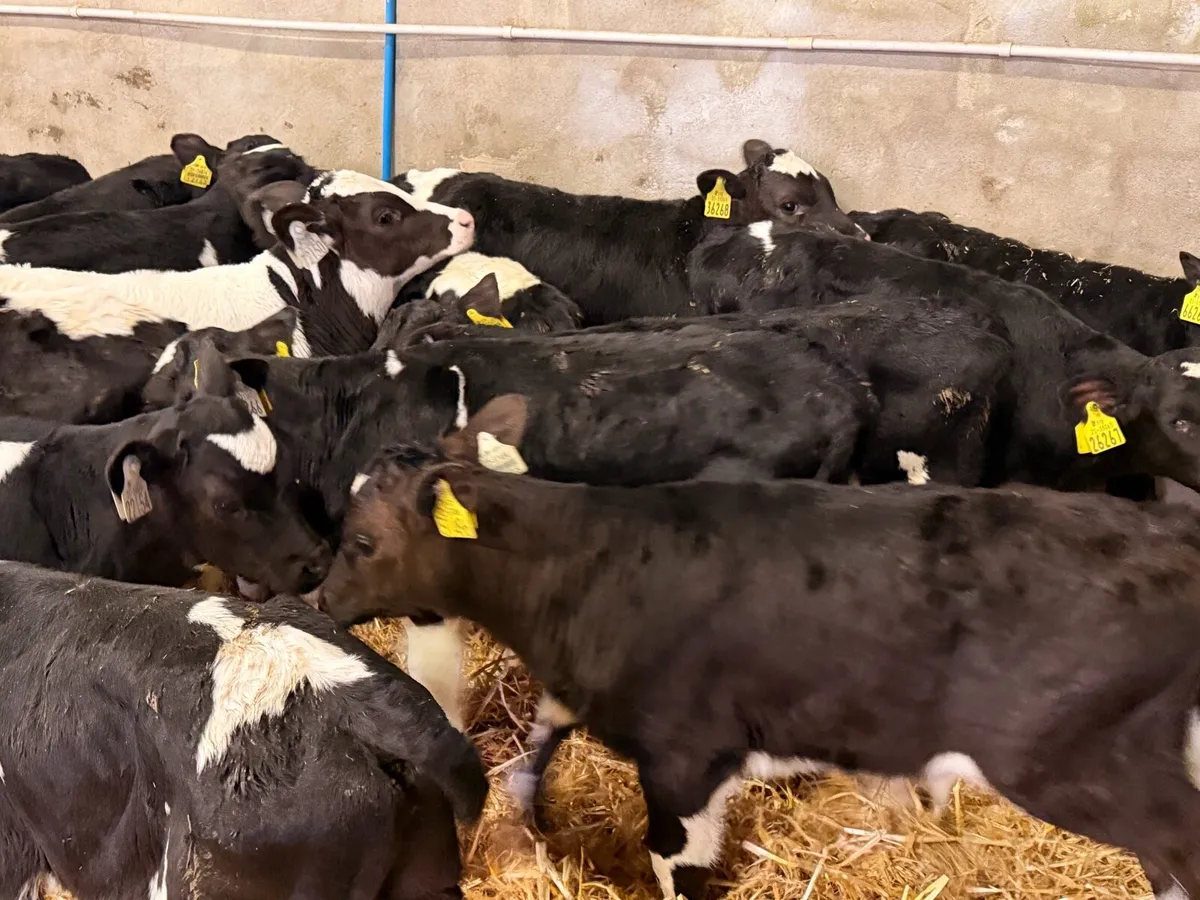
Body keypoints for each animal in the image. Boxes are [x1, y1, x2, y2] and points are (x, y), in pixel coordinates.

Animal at [318, 393, 1200, 900]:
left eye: (361, 541)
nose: (322, 600)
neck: (588, 561)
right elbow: (539, 745)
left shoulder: (687, 752)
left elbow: (675, 861)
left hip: (1070, 760)